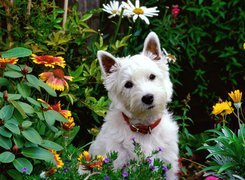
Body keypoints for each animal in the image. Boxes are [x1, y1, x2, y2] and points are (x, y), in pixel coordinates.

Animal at [82, 32, 178, 179]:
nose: (148, 98)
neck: (144, 128)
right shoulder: (117, 162)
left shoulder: (169, 164)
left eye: (152, 76)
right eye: (128, 84)